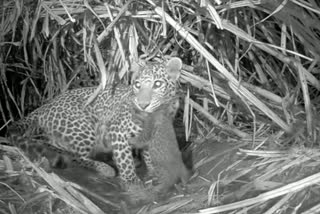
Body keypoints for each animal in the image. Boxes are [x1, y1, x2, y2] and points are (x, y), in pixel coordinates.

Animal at [6, 57, 182, 189]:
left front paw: (153, 172)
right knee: (78, 157)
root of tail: (45, 105)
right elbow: (126, 163)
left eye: (157, 84)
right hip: (85, 129)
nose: (142, 104)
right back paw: (106, 168)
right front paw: (134, 184)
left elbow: (150, 156)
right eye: (137, 85)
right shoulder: (117, 131)